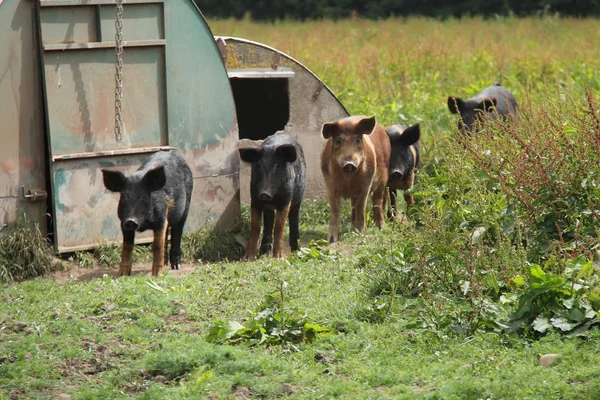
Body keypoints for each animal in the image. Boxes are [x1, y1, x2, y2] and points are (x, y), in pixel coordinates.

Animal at [101, 148, 192, 276]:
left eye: (143, 197)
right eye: (124, 196)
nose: (131, 221)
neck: (144, 223)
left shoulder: (161, 218)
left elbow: (157, 245)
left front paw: (157, 274)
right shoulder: (123, 221)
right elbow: (127, 246)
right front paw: (123, 274)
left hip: (185, 207)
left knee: (177, 233)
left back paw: (176, 266)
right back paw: (165, 263)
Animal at [322, 114, 392, 242]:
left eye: (358, 140)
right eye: (338, 140)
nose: (349, 163)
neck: (348, 178)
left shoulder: (366, 183)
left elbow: (361, 206)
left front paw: (361, 233)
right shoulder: (329, 183)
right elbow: (335, 209)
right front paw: (332, 240)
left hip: (384, 177)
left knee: (377, 202)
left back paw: (382, 229)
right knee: (353, 206)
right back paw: (352, 230)